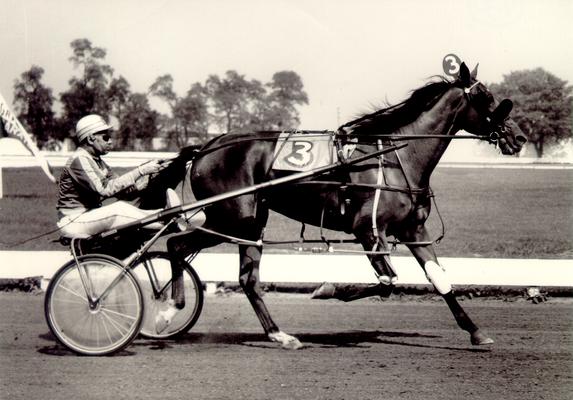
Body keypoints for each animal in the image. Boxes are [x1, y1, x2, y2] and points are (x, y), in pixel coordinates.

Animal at [160, 61, 524, 346]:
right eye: (486, 98)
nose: (519, 137)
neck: (395, 157)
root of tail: (207, 147)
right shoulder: (367, 229)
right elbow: (387, 281)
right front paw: (331, 289)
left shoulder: (413, 230)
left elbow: (439, 279)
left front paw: (476, 332)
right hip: (232, 218)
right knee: (176, 245)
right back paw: (167, 310)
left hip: (249, 224)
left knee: (247, 279)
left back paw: (279, 334)